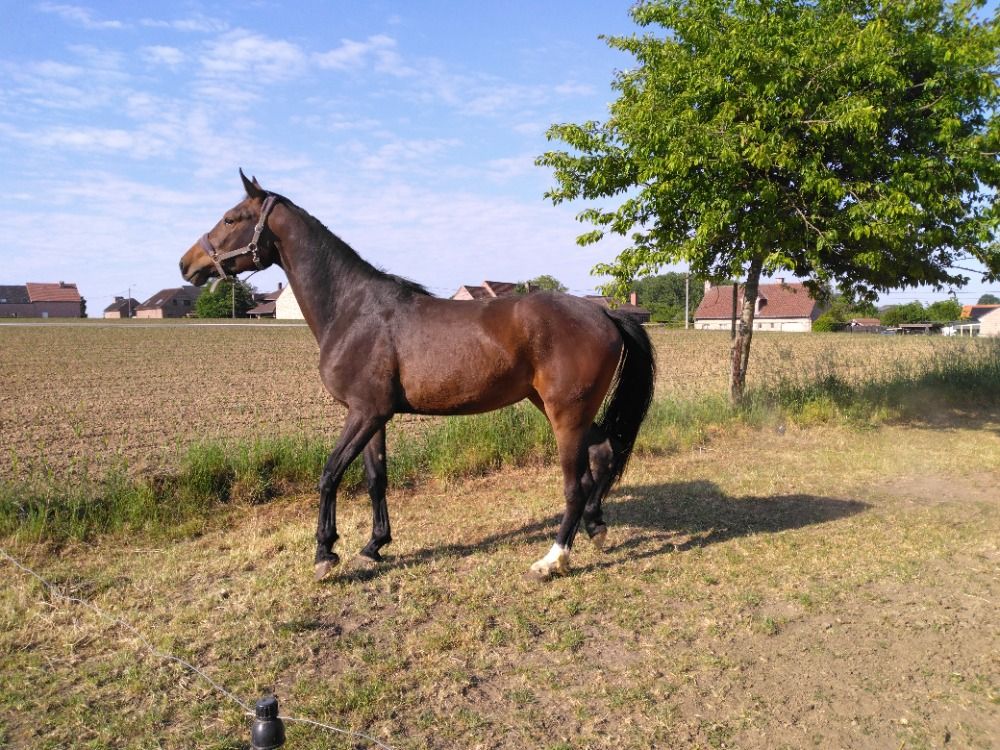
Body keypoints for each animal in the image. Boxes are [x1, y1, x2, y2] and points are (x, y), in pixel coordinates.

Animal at [179, 170, 656, 581]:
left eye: (231, 218)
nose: (187, 264)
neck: (352, 309)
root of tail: (604, 313)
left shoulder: (364, 413)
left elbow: (330, 473)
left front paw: (325, 553)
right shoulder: (373, 416)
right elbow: (375, 479)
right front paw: (373, 547)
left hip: (565, 416)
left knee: (576, 484)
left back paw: (553, 559)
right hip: (561, 409)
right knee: (603, 455)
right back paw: (596, 528)